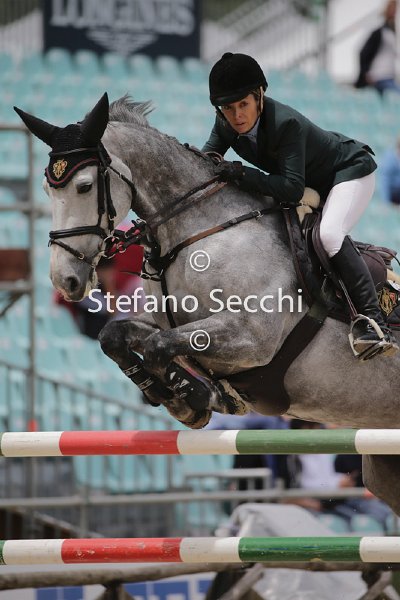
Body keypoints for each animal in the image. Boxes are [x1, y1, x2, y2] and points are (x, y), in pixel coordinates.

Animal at [15, 93, 398, 515]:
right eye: (47, 189)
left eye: (84, 187)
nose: (65, 280)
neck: (197, 230)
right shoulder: (170, 324)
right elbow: (116, 336)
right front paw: (177, 397)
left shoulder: (252, 337)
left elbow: (158, 347)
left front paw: (199, 397)